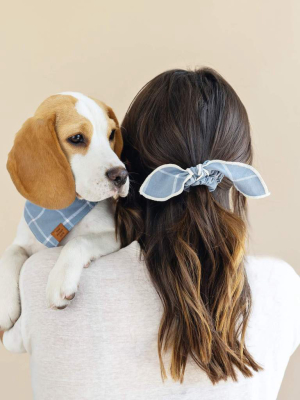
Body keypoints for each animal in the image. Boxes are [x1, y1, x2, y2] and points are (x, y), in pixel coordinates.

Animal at [0, 94, 128, 332]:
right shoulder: (23, 242)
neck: (62, 212)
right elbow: (9, 254)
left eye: (111, 134)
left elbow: (79, 241)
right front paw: (4, 302)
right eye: (77, 138)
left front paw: (60, 280)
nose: (122, 176)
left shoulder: (116, 235)